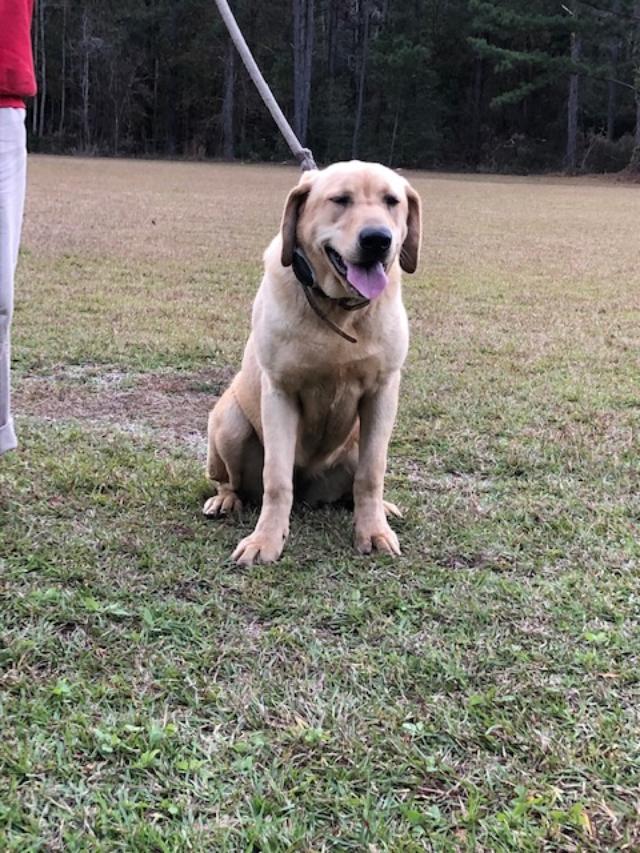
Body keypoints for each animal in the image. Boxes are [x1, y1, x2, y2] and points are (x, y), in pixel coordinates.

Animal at [204, 161, 420, 564]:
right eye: (340, 199)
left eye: (392, 201)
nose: (377, 239)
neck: (339, 310)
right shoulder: (280, 393)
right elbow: (276, 479)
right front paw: (265, 540)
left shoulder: (382, 392)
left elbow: (372, 473)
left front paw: (373, 530)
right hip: (230, 424)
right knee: (233, 480)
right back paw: (226, 499)